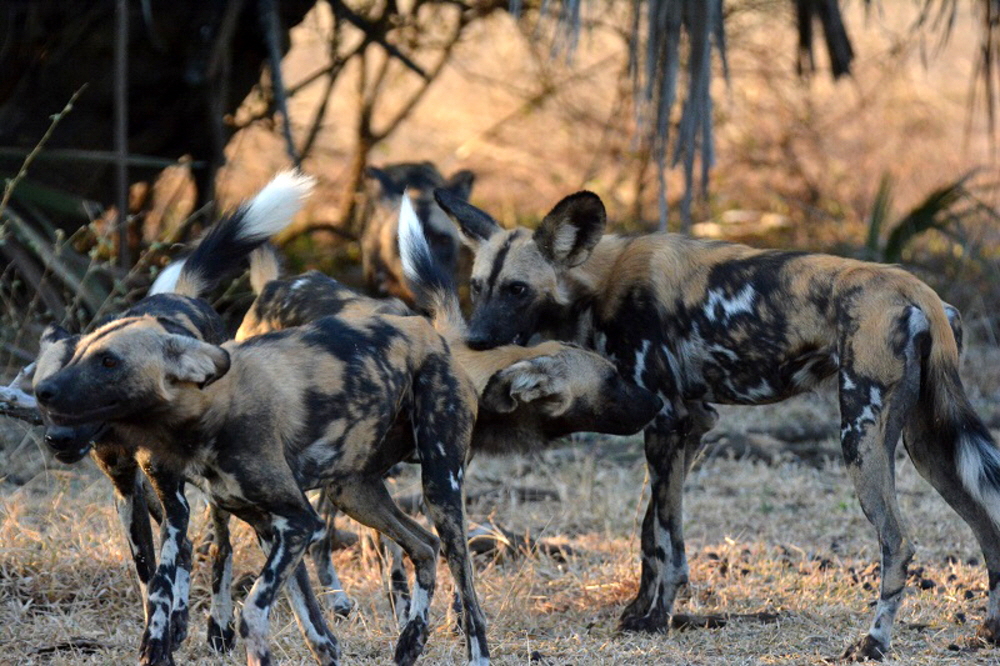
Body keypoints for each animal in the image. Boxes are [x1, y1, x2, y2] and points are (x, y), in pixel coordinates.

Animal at [34, 170, 312, 660]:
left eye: (96, 389)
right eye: (45, 397)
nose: (58, 440)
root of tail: (180, 297)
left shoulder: (175, 495)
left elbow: (170, 570)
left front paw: (166, 633)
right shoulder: (128, 492)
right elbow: (151, 574)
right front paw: (159, 631)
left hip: (214, 490)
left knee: (220, 550)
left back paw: (217, 626)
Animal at [34, 250, 492, 664]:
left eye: (109, 361)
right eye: (80, 356)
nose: (44, 393)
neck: (209, 408)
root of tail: (426, 328)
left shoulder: (297, 523)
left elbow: (253, 610)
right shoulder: (269, 525)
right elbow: (314, 629)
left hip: (439, 486)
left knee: (468, 594)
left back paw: (473, 653)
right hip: (354, 494)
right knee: (425, 545)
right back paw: (410, 640)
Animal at [438, 188, 1000, 660]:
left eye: (517, 289)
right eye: (477, 286)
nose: (477, 341)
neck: (599, 281)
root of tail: (917, 288)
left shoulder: (665, 420)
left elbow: (665, 538)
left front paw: (656, 619)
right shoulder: (691, 424)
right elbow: (653, 531)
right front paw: (640, 611)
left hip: (860, 434)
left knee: (897, 542)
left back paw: (873, 643)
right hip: (929, 443)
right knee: (987, 525)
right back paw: (988, 631)